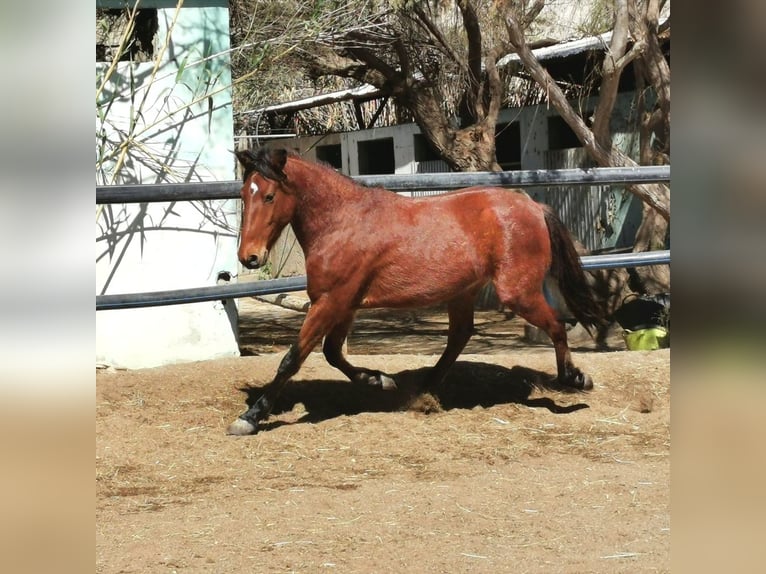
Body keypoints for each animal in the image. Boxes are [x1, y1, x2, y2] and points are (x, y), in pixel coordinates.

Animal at [230, 147, 608, 436]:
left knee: (556, 325)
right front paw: (379, 380)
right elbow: (333, 353)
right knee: (460, 335)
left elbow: (293, 358)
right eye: (244, 194)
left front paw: (249, 418)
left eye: (269, 196)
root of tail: (535, 208)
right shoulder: (344, 304)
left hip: (517, 293)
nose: (249, 257)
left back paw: (576, 379)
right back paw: (425, 390)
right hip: (464, 291)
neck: (343, 223)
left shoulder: (331, 301)